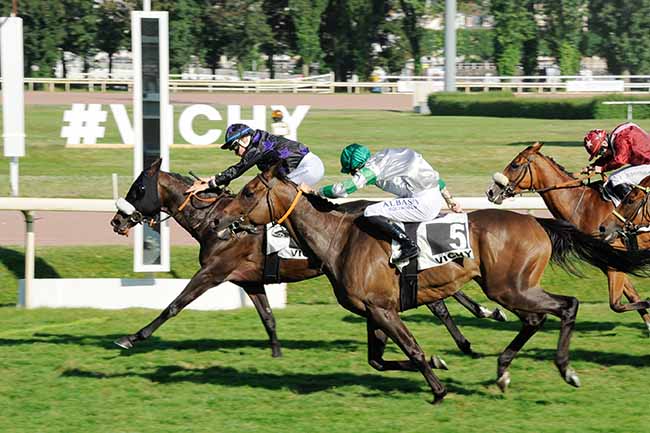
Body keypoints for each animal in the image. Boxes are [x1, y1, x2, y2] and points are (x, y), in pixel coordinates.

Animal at [111, 159, 504, 358]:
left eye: (138, 189)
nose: (116, 220)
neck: (213, 221)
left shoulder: (214, 271)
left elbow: (174, 305)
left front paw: (132, 337)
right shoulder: (249, 280)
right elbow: (268, 317)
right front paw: (276, 353)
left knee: (439, 302)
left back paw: (475, 328)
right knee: (438, 296)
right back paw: (474, 329)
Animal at [214, 165, 650, 402]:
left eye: (249, 191)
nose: (219, 219)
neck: (340, 238)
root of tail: (537, 222)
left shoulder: (382, 308)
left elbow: (412, 349)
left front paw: (438, 389)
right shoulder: (374, 309)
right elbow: (379, 359)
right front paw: (439, 364)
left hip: (510, 287)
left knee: (566, 306)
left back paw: (564, 369)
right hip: (511, 287)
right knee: (536, 319)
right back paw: (504, 370)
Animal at [486, 143, 648, 332]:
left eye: (515, 165)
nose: (491, 191)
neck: (584, 205)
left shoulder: (615, 258)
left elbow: (617, 303)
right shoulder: (611, 262)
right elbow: (628, 298)